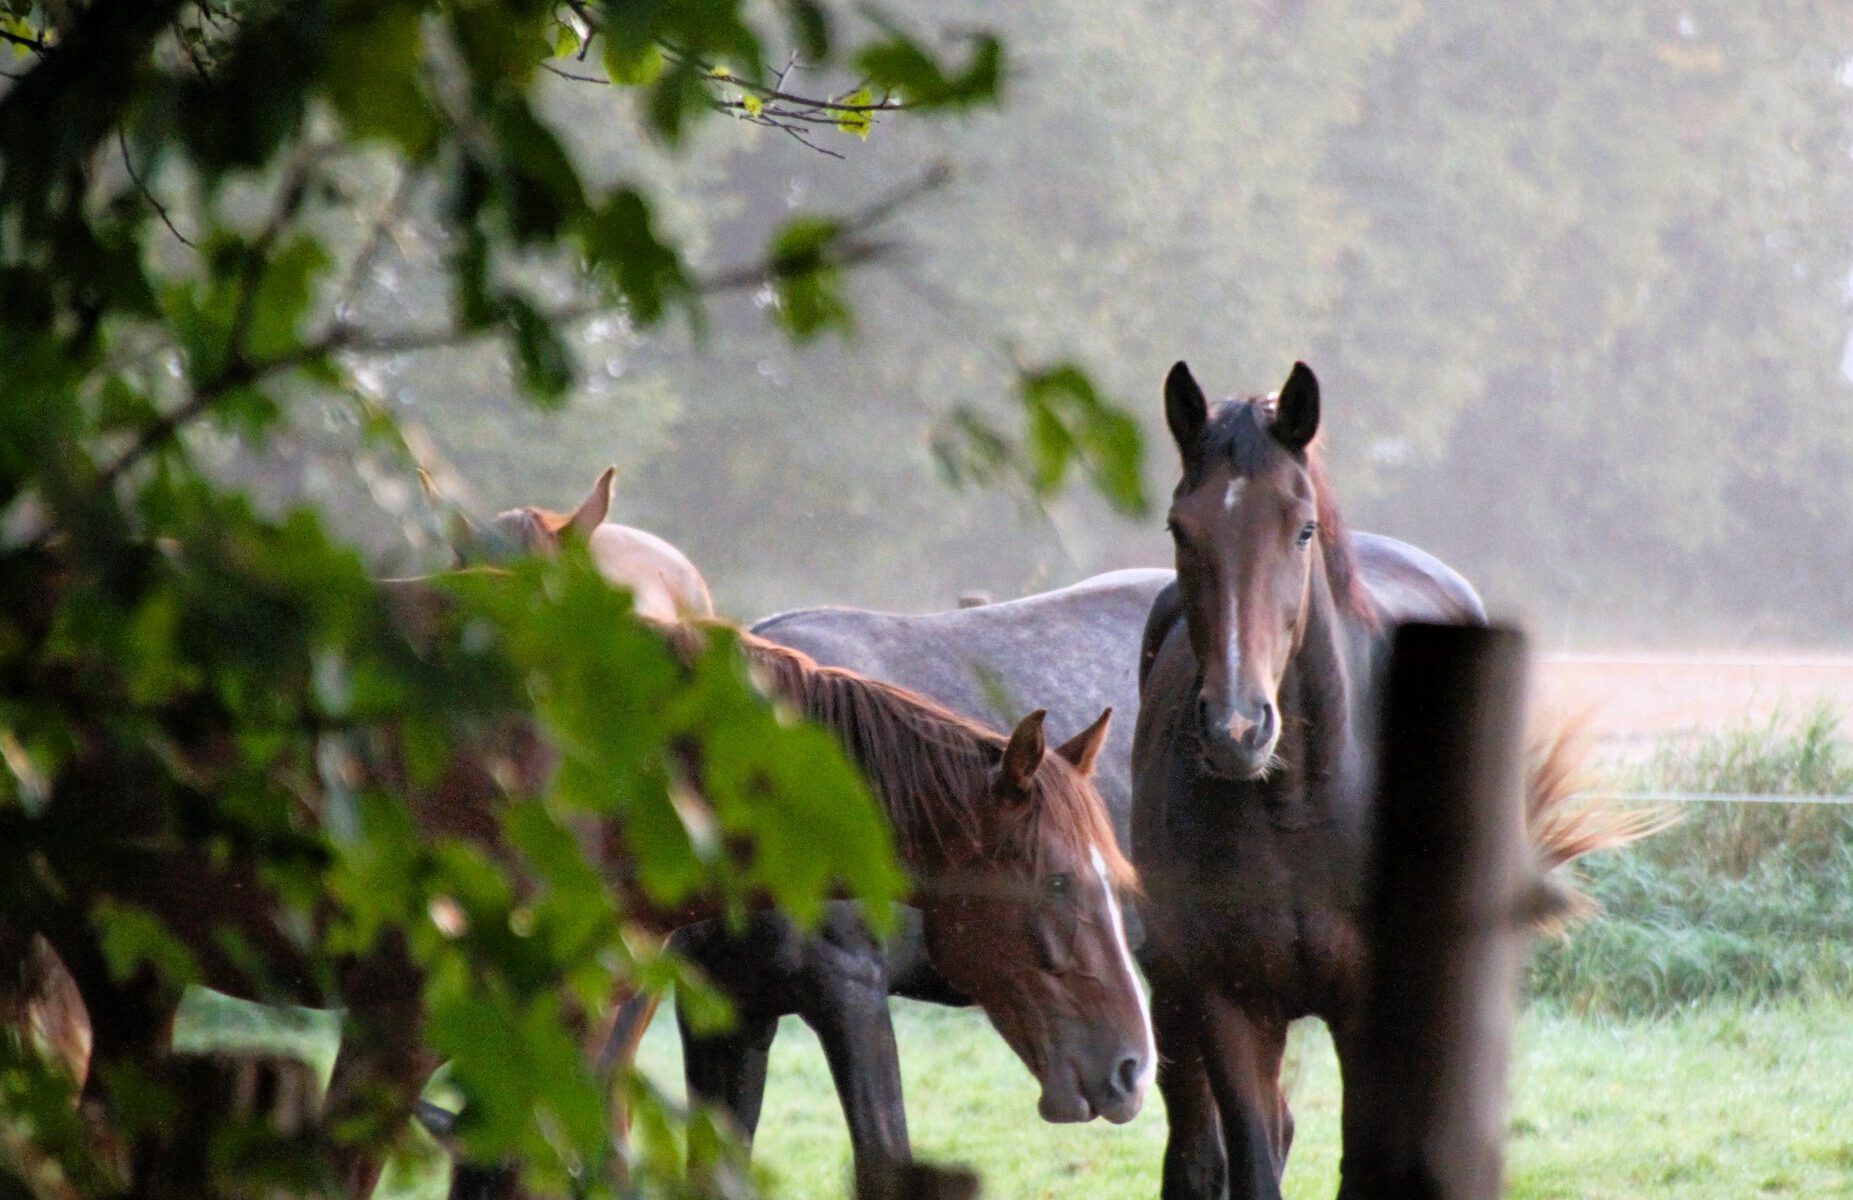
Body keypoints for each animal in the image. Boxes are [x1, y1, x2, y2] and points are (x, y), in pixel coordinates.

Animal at [1134, 362, 1660, 1200]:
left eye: (1301, 528)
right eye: (1180, 529)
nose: (1236, 730)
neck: (1297, 808)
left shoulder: (1370, 1015)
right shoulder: (1229, 1005)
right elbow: (1250, 1161)